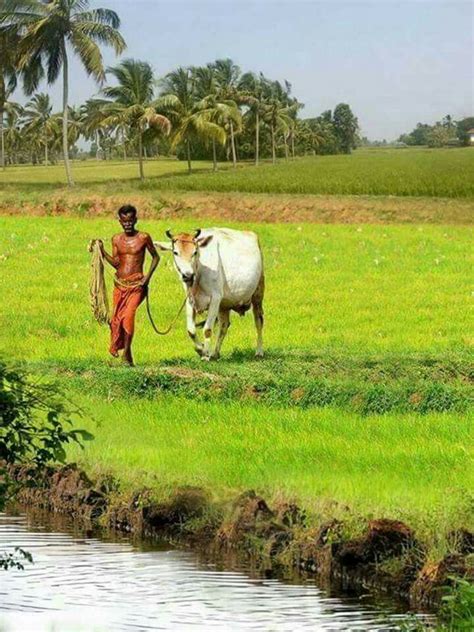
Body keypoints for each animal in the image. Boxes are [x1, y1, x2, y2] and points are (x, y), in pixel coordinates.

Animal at [156, 227, 264, 360]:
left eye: (195, 252)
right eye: (175, 252)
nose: (188, 275)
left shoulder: (215, 299)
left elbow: (207, 329)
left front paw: (205, 354)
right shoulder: (190, 300)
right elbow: (191, 331)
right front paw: (200, 349)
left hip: (258, 293)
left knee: (258, 321)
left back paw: (259, 351)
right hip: (224, 305)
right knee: (224, 325)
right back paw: (215, 353)